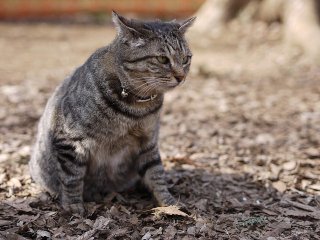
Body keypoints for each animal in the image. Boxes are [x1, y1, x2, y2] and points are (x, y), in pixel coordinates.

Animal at [29, 11, 195, 215]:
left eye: (186, 58)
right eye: (163, 59)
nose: (181, 77)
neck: (136, 106)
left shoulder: (148, 142)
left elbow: (156, 173)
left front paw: (168, 202)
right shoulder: (69, 140)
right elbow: (71, 177)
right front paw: (73, 206)